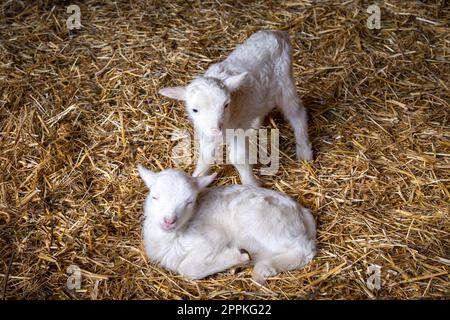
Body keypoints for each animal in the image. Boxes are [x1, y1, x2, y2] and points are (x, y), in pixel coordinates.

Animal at [137, 166, 316, 284]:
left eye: (189, 201)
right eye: (154, 197)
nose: (169, 220)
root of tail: (302, 211)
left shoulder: (214, 237)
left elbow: (186, 268)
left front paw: (239, 255)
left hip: (266, 224)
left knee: (305, 250)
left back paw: (265, 267)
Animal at [159, 30, 312, 185]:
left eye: (226, 104)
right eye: (194, 110)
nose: (216, 130)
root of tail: (277, 33)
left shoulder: (238, 129)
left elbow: (238, 157)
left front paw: (252, 184)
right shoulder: (205, 131)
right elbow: (206, 155)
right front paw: (196, 178)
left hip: (284, 82)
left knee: (297, 112)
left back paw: (304, 151)